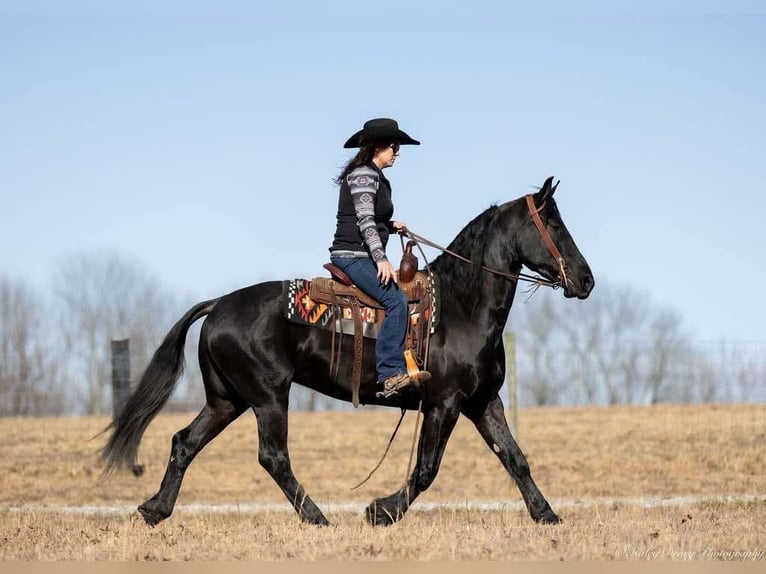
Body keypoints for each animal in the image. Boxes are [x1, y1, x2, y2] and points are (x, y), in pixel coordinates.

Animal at [100, 176, 592, 528]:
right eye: (553, 224)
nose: (586, 280)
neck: (460, 307)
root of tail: (218, 304)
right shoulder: (444, 403)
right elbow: (427, 468)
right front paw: (381, 512)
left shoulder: (483, 402)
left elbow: (515, 458)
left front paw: (546, 514)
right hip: (267, 397)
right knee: (273, 457)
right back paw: (317, 517)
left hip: (227, 399)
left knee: (185, 442)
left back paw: (155, 510)